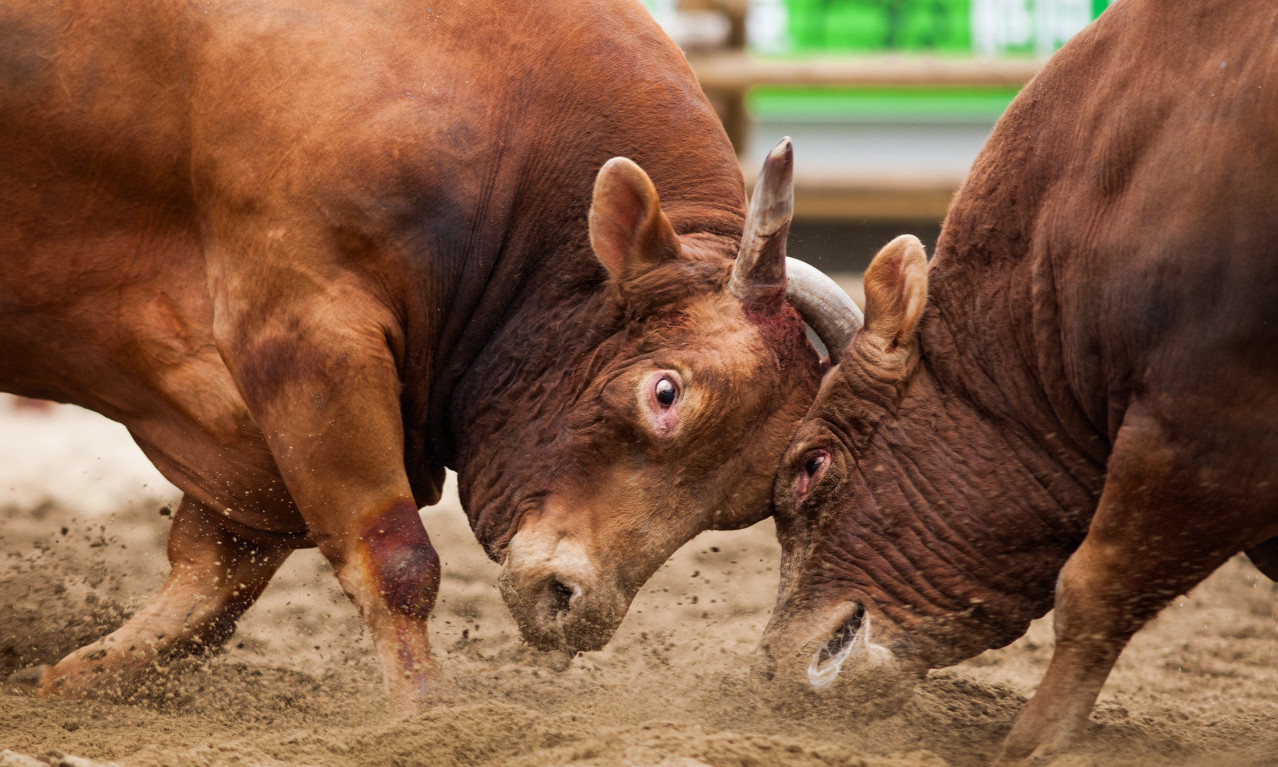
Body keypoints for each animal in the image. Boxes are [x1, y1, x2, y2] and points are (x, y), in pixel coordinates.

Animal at [2, 0, 858, 705]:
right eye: (665, 392)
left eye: (743, 501)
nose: (573, 606)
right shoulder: (308, 334)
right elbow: (395, 561)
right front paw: (423, 712)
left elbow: (216, 578)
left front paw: (81, 675)